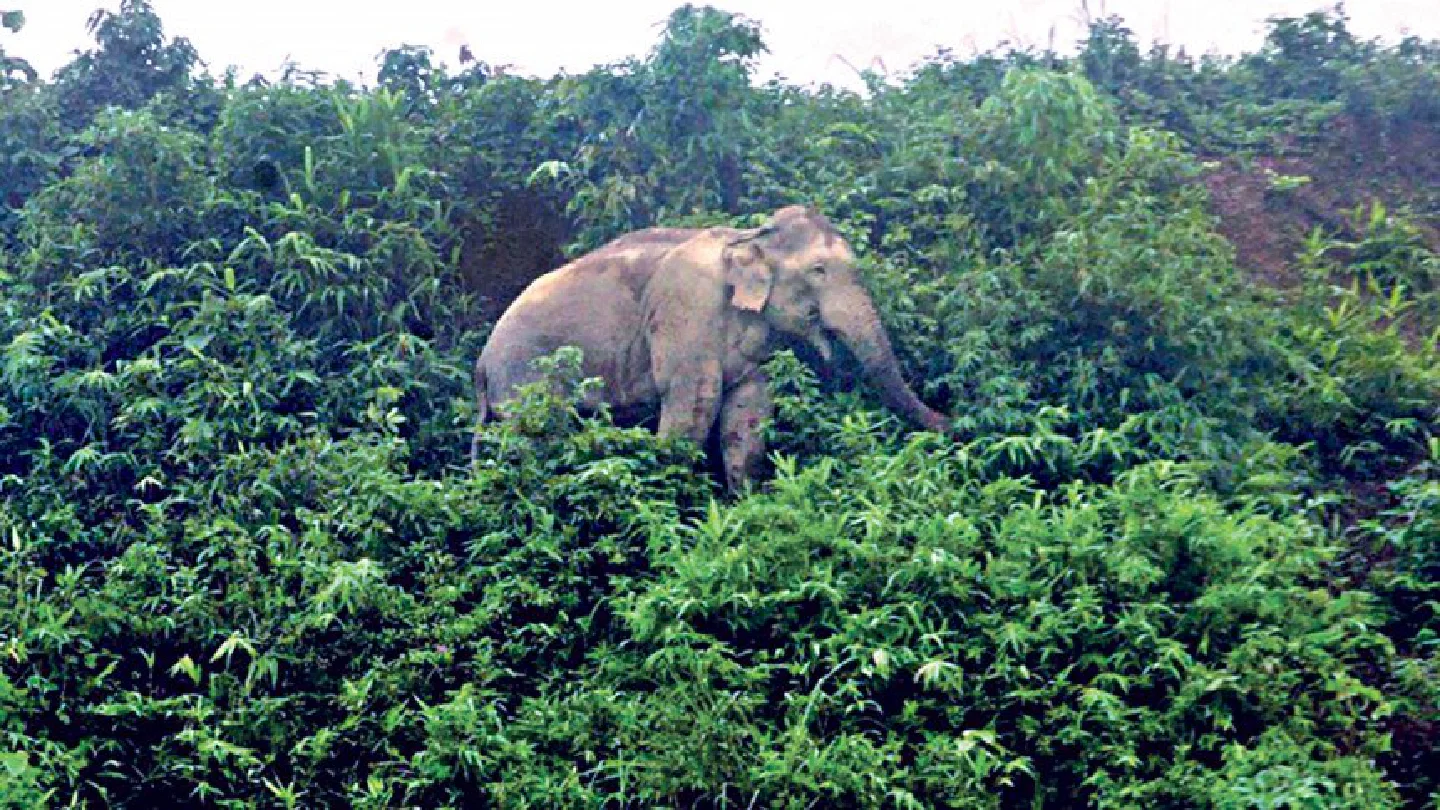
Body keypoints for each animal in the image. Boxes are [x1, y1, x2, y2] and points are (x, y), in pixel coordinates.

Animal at [471, 205, 952, 489]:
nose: (954, 423)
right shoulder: (687, 309)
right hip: (525, 377)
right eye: (818, 270)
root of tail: (481, 363)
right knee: (536, 441)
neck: (748, 236)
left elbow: (749, 411)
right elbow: (693, 406)